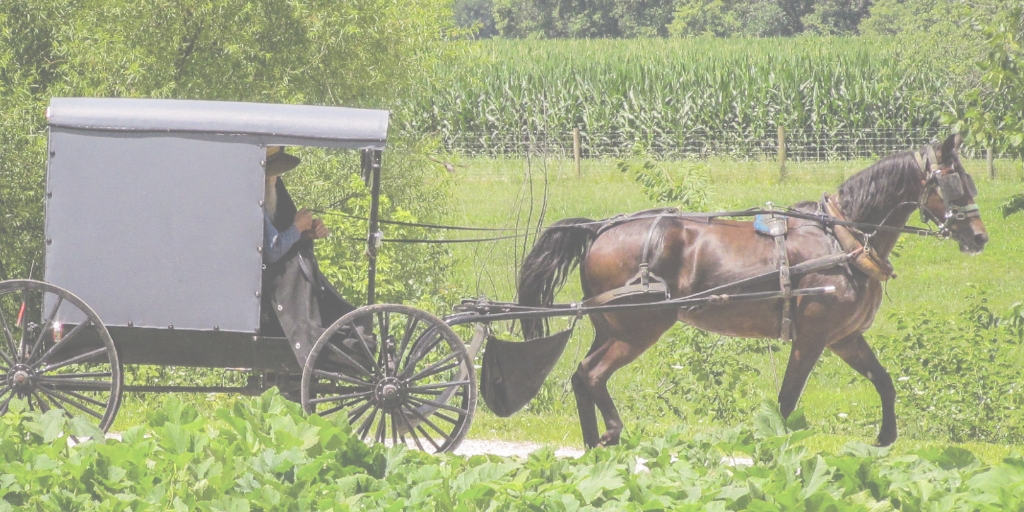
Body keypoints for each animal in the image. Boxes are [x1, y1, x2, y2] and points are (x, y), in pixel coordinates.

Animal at [516, 133, 987, 448]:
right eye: (955, 182)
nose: (980, 238)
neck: (840, 239)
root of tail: (600, 229)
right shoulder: (812, 338)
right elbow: (786, 399)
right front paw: (772, 445)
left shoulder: (845, 338)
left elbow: (884, 381)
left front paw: (885, 438)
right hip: (638, 329)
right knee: (592, 374)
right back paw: (611, 433)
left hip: (612, 327)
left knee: (581, 375)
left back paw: (593, 443)